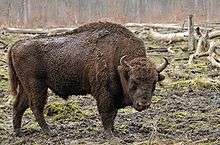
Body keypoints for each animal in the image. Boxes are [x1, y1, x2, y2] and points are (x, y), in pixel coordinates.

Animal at [7, 21, 168, 137]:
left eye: (154, 82)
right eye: (134, 81)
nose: (144, 104)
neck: (119, 65)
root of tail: (16, 45)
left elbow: (113, 114)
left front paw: (114, 131)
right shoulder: (104, 94)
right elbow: (107, 113)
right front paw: (109, 134)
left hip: (25, 87)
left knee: (19, 106)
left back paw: (18, 133)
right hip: (37, 86)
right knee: (35, 107)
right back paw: (49, 131)